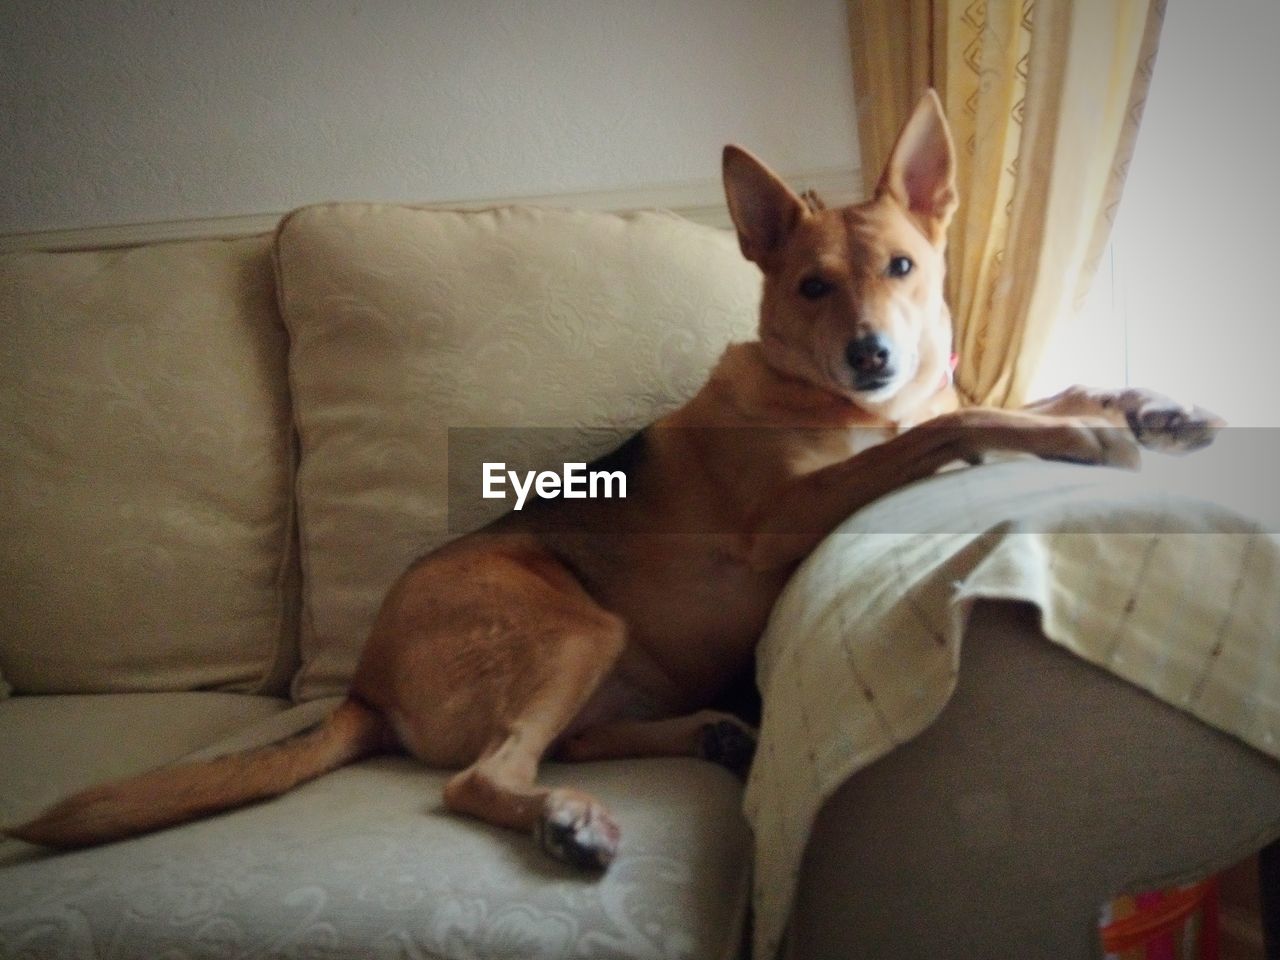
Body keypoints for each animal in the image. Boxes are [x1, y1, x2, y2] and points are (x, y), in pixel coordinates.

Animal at [5, 92, 1218, 870]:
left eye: (903, 268)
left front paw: (1145, 407)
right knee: (480, 776)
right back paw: (567, 818)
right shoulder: (785, 514)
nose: (872, 354)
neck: (831, 400)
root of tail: (364, 686)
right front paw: (1084, 436)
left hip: (599, 659)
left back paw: (700, 740)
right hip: (569, 623)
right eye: (813, 286)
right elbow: (961, 419)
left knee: (558, 741)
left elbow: (1015, 395)